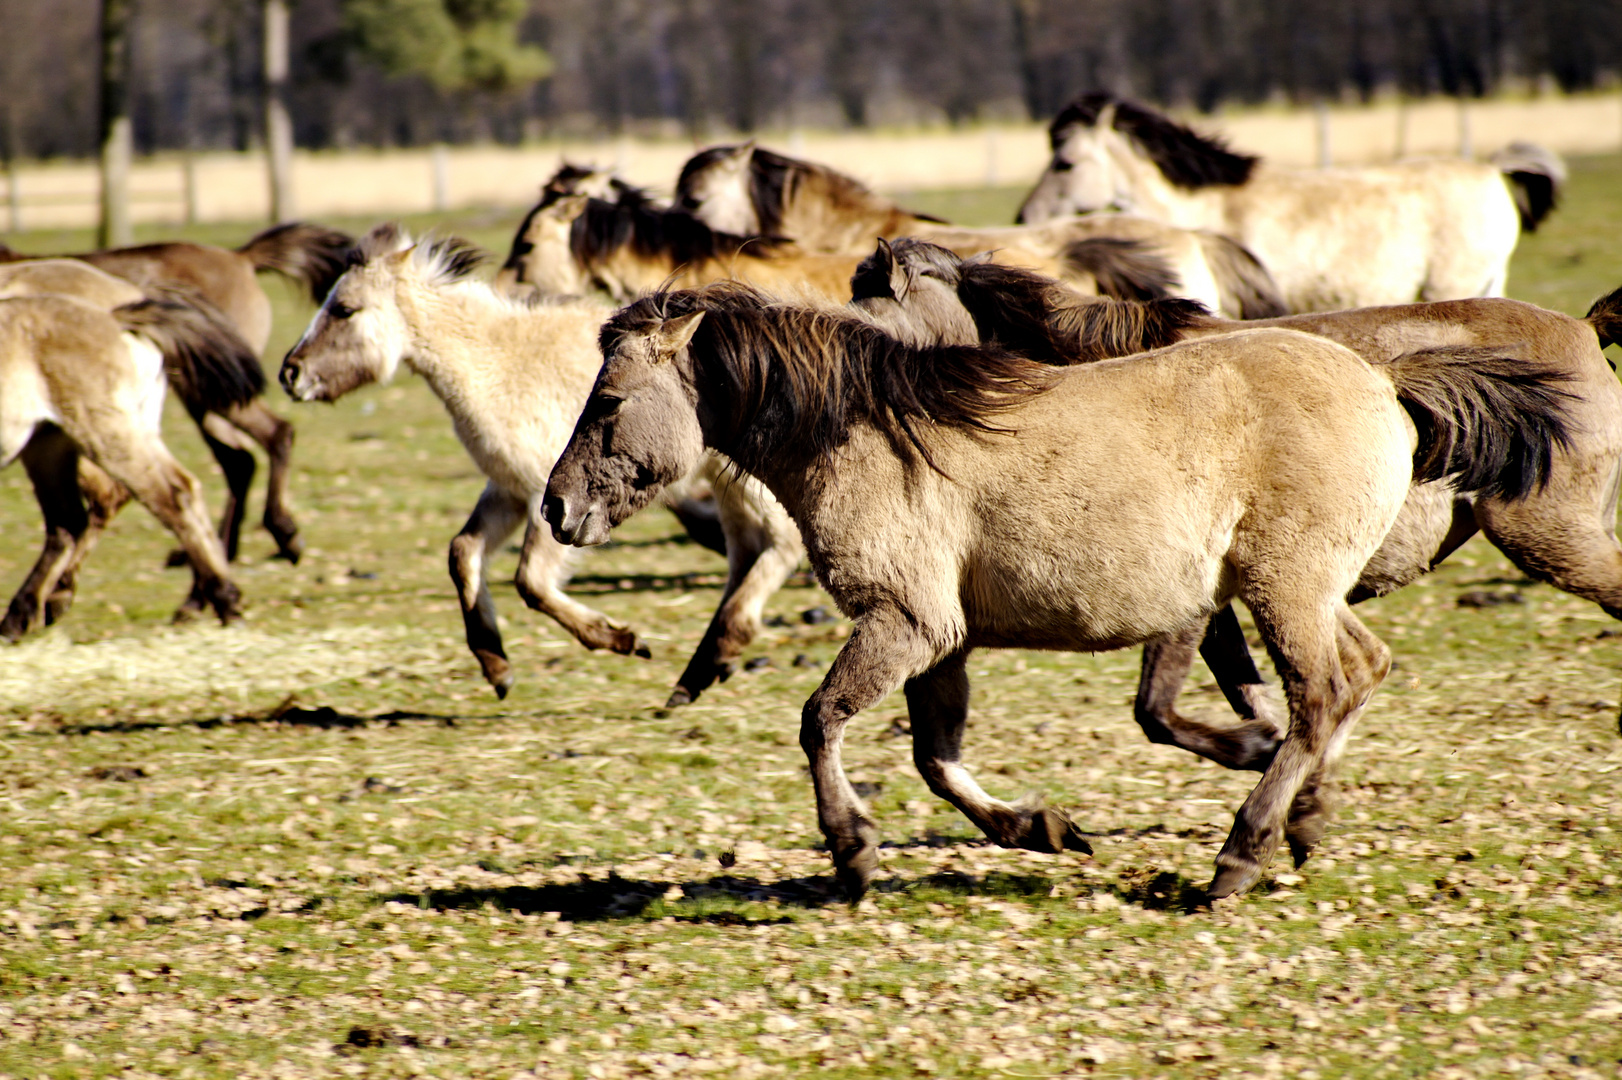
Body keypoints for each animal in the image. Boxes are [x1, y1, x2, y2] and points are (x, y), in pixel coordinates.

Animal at [0, 285, 243, 635]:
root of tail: (115, 321)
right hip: (60, 443)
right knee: (73, 521)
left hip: (104, 437)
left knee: (167, 499)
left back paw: (225, 601)